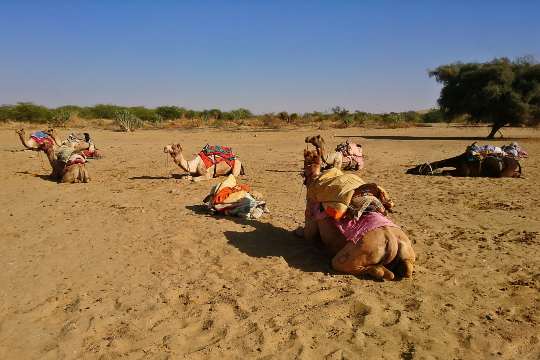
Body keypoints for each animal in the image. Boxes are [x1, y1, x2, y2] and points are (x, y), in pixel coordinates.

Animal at [300, 149, 414, 282]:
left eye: (305, 161)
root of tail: (391, 241)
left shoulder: (310, 214)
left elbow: (307, 235)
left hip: (356, 253)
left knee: (347, 264)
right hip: (406, 248)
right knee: (406, 269)